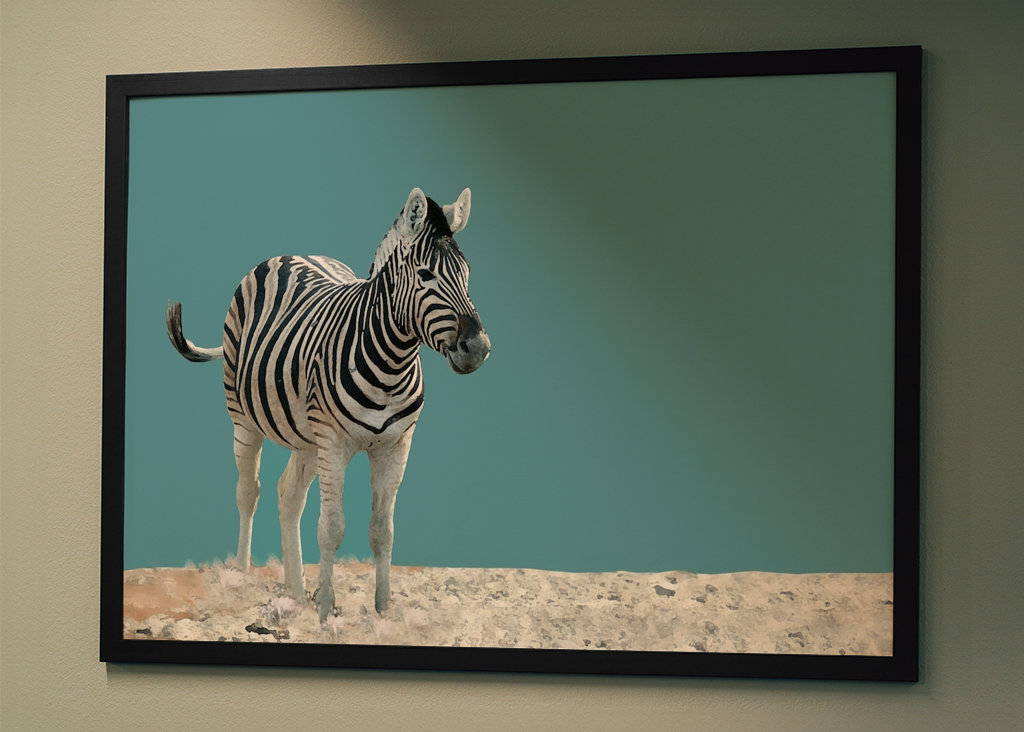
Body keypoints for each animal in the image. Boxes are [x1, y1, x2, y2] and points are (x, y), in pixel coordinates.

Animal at [165, 187, 490, 620]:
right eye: (426, 276)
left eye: (467, 274)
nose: (479, 348)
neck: (391, 362)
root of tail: (290, 253)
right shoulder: (334, 443)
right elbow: (332, 528)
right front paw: (325, 611)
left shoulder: (396, 445)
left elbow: (383, 531)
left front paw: (382, 611)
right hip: (244, 418)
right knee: (249, 490)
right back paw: (243, 574)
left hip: (306, 436)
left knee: (288, 496)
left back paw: (295, 590)